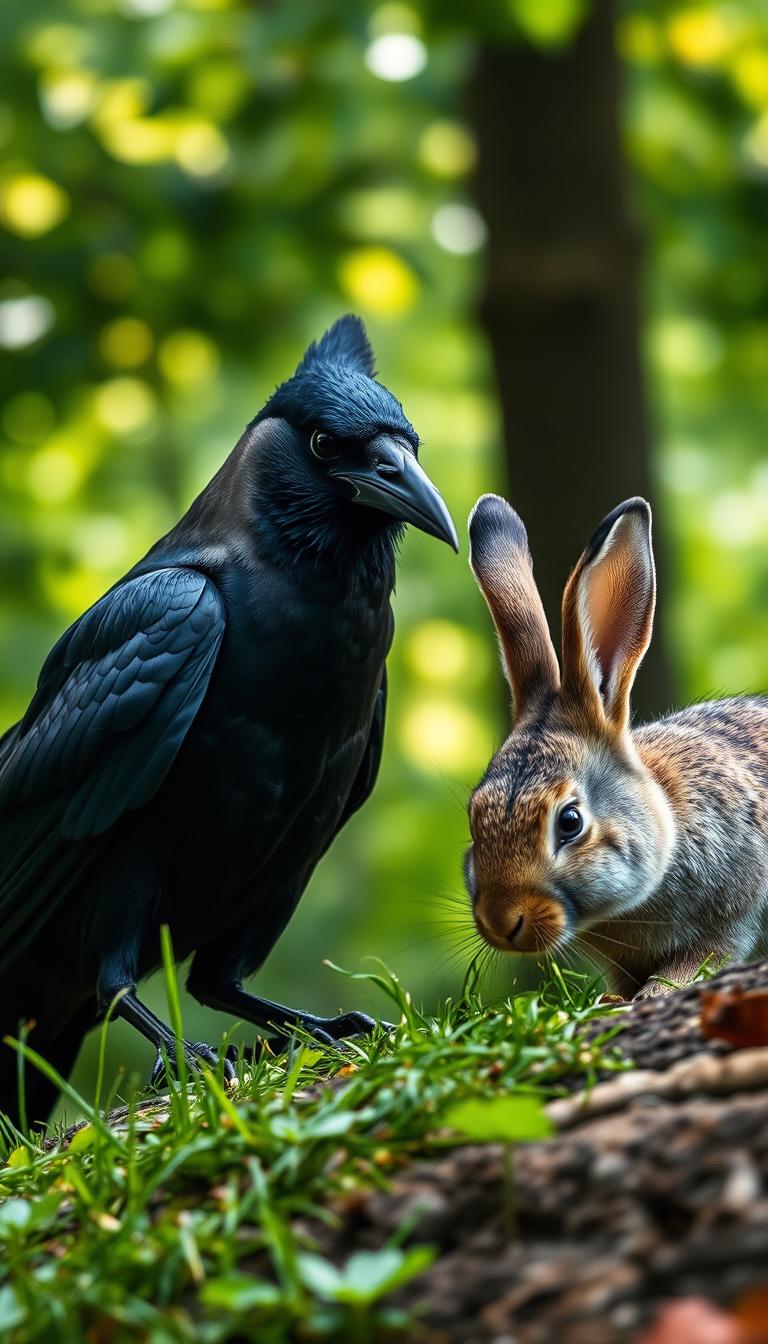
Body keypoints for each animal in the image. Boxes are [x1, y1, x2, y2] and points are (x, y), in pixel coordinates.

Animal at [465, 493, 768, 1000]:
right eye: (473, 815)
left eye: (570, 822)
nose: (501, 922)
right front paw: (614, 1000)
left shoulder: (732, 917)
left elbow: (697, 962)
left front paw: (651, 995)